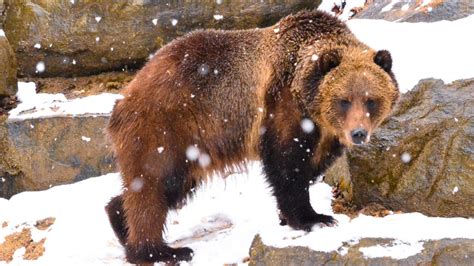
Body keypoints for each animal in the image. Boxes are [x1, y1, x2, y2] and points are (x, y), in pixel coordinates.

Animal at [105, 9, 398, 264]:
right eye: (344, 100)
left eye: (371, 100)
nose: (358, 133)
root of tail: (125, 96)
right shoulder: (281, 108)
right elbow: (287, 167)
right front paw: (313, 218)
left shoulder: (324, 135)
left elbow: (311, 166)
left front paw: (292, 216)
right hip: (165, 129)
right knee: (154, 185)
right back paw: (159, 251)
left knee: (166, 188)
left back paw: (119, 220)